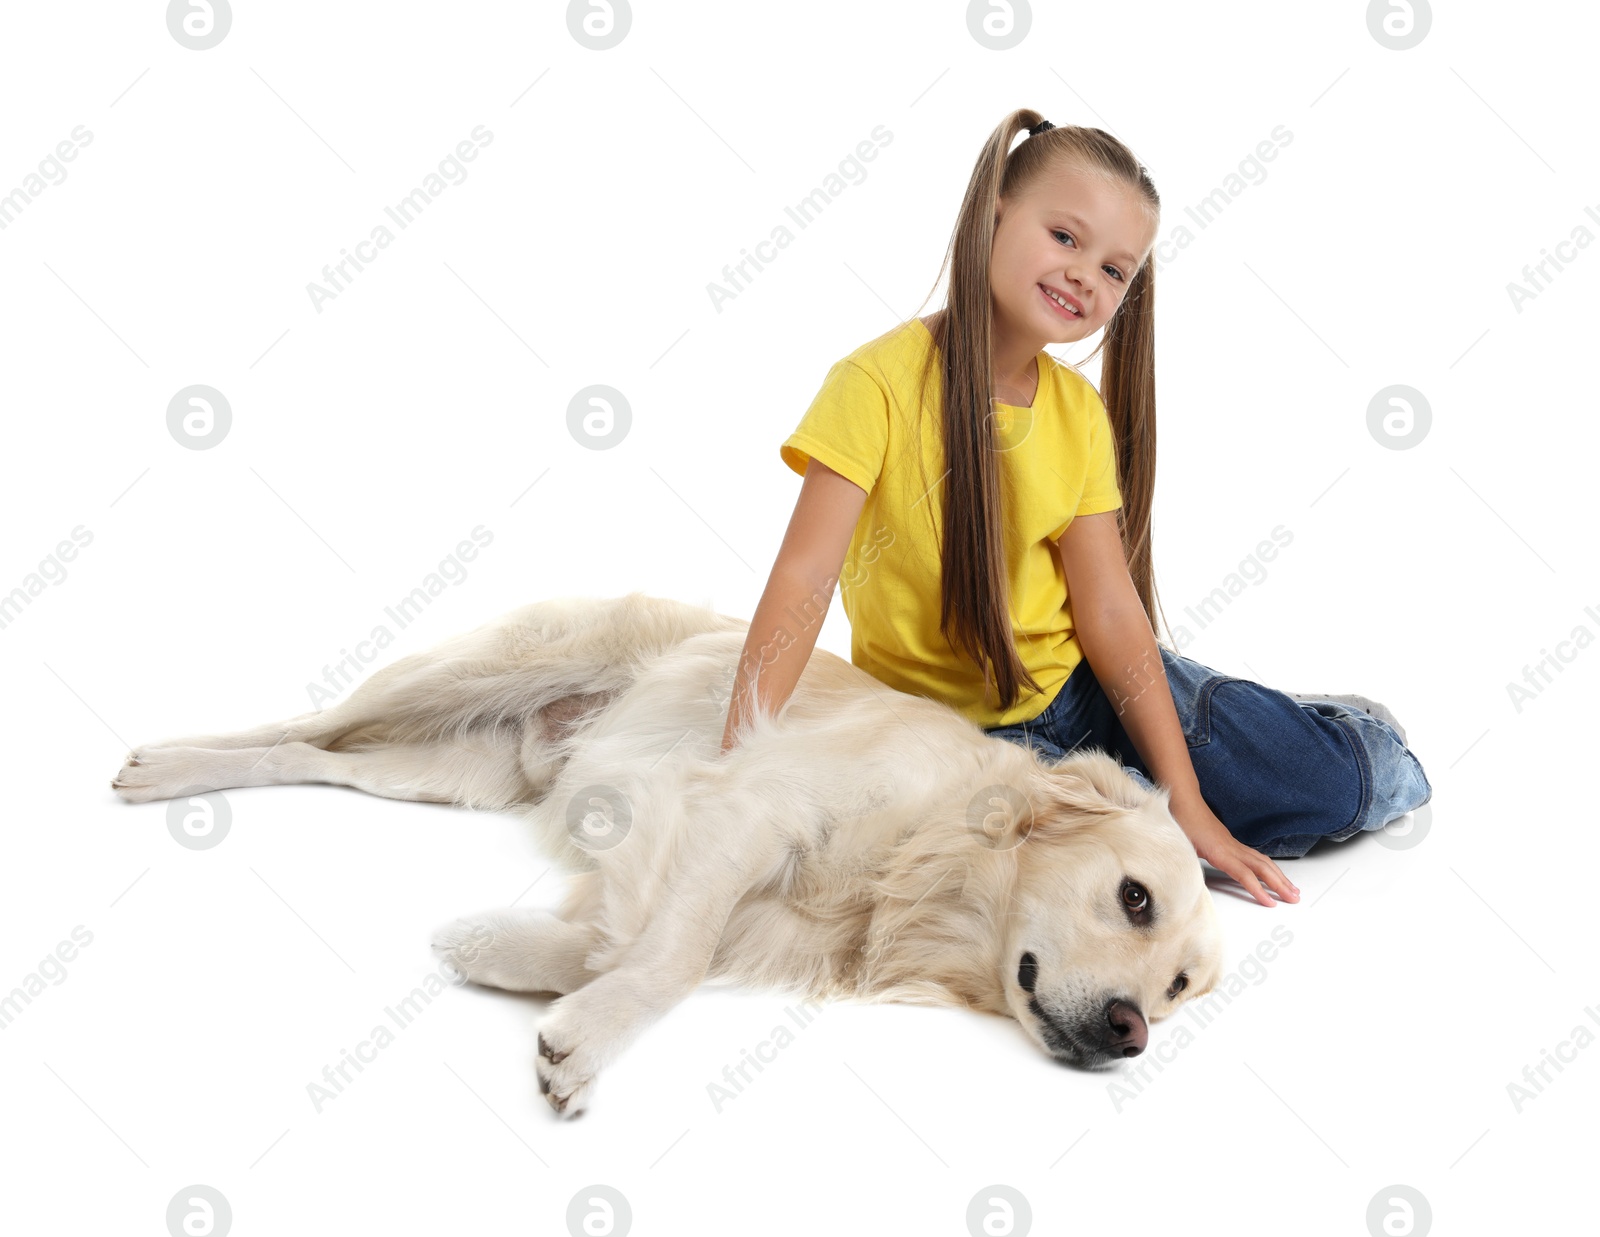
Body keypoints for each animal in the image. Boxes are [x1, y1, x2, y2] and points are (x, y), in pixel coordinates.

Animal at [112, 592, 1222, 1120]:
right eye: (1132, 898)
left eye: (1173, 991)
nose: (1130, 1032)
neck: (927, 853)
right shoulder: (752, 806)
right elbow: (671, 960)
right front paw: (584, 1039)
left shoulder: (705, 878)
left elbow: (607, 936)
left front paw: (490, 948)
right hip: (464, 676)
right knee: (303, 721)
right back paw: (163, 764)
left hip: (440, 770)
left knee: (313, 755)